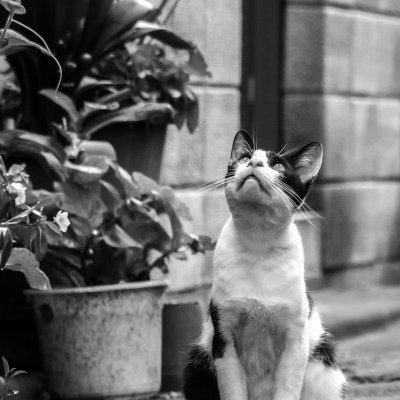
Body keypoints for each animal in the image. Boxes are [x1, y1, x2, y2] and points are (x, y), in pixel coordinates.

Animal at [183, 131, 346, 400]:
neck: (258, 241)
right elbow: (233, 391)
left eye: (278, 165)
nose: (254, 163)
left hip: (323, 364)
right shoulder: (223, 340)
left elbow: (287, 391)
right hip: (197, 362)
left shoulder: (295, 342)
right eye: (245, 158)